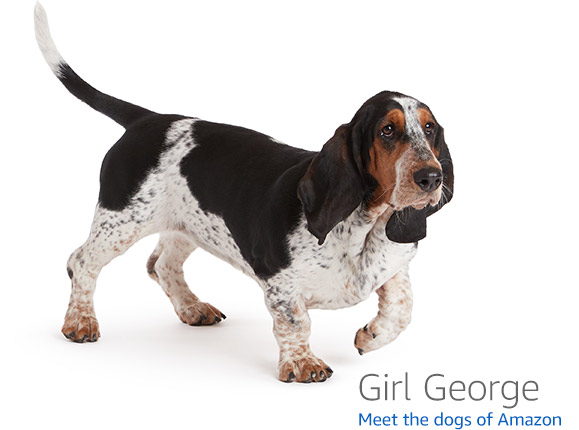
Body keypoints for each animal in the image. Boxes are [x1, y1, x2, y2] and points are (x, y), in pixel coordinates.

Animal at [35, 3, 453, 383]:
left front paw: (370, 337)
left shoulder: (396, 266)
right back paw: (80, 322)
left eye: (430, 129)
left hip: (188, 224)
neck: (365, 224)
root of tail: (148, 120)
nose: (431, 178)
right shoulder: (280, 283)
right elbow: (296, 322)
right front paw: (303, 364)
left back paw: (192, 308)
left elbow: (402, 307)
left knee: (160, 264)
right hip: (121, 222)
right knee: (81, 262)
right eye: (387, 130)